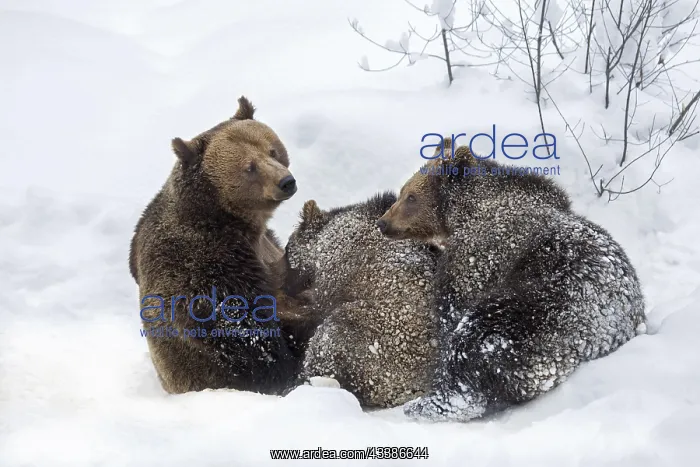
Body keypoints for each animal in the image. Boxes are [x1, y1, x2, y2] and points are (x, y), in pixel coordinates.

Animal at [129, 97, 318, 395]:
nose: (286, 182)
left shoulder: (268, 243)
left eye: (272, 150)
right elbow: (243, 328)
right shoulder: (202, 262)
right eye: (249, 167)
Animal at [376, 139, 646, 421]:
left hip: (545, 312)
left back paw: (431, 403)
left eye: (411, 197)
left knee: (481, 335)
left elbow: (453, 306)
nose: (383, 222)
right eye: (403, 192)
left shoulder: (482, 253)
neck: (462, 215)